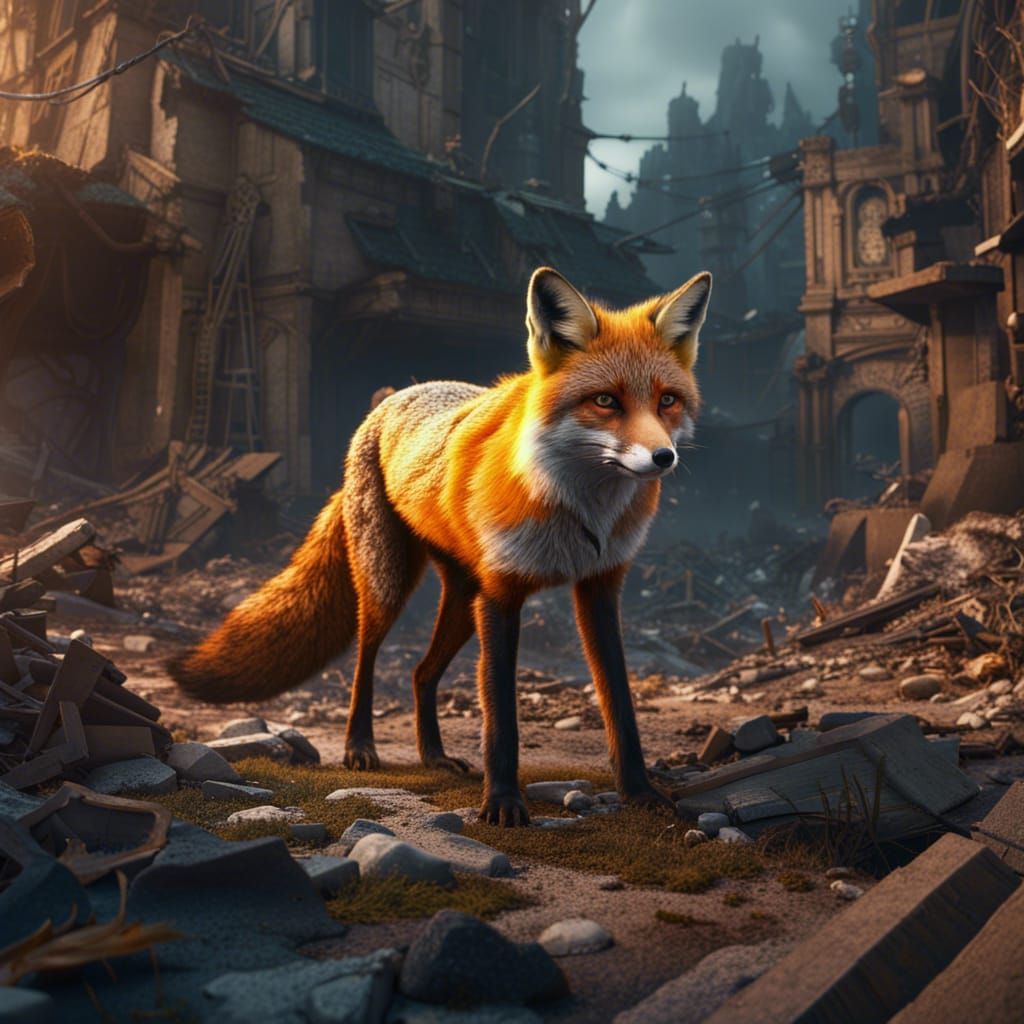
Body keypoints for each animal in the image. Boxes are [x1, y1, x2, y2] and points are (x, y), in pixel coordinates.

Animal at [170, 266, 711, 826]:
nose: (663, 457)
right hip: (389, 584)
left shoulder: (599, 588)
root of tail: (395, 396)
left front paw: (640, 792)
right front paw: (502, 803)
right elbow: (501, 716)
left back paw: (434, 755)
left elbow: (620, 703)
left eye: (667, 401)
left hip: (461, 602)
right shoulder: (501, 597)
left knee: (419, 671)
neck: (580, 515)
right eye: (605, 401)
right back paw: (359, 746)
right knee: (366, 659)